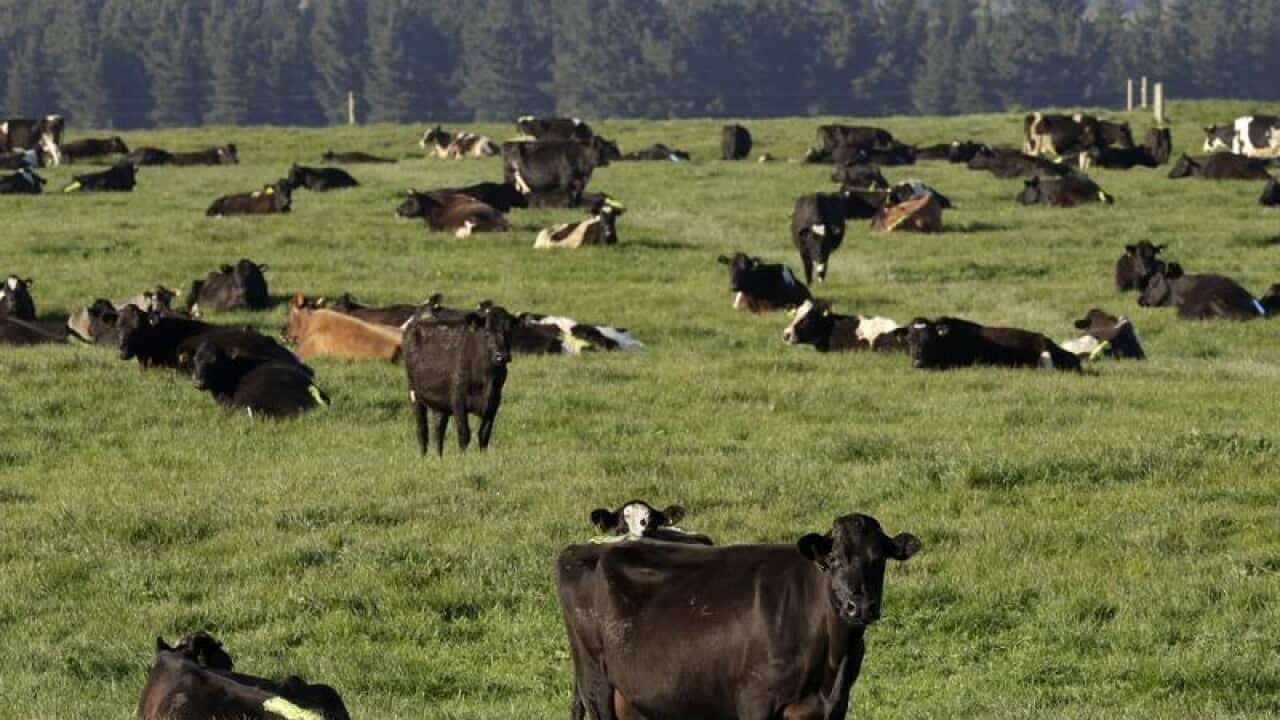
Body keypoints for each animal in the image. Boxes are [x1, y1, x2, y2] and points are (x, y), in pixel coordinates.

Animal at [403, 302, 516, 456]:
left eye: (509, 332)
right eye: (487, 333)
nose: (502, 356)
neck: (487, 377)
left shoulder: (494, 401)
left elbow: (484, 434)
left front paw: (483, 457)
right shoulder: (458, 399)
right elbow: (464, 433)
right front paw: (463, 457)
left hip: (440, 403)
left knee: (438, 432)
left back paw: (438, 457)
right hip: (414, 393)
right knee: (422, 431)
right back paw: (423, 457)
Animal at [556, 512, 920, 720]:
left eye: (879, 558)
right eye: (833, 559)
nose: (860, 606)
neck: (832, 654)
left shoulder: (836, 705)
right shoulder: (755, 701)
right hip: (596, 683)